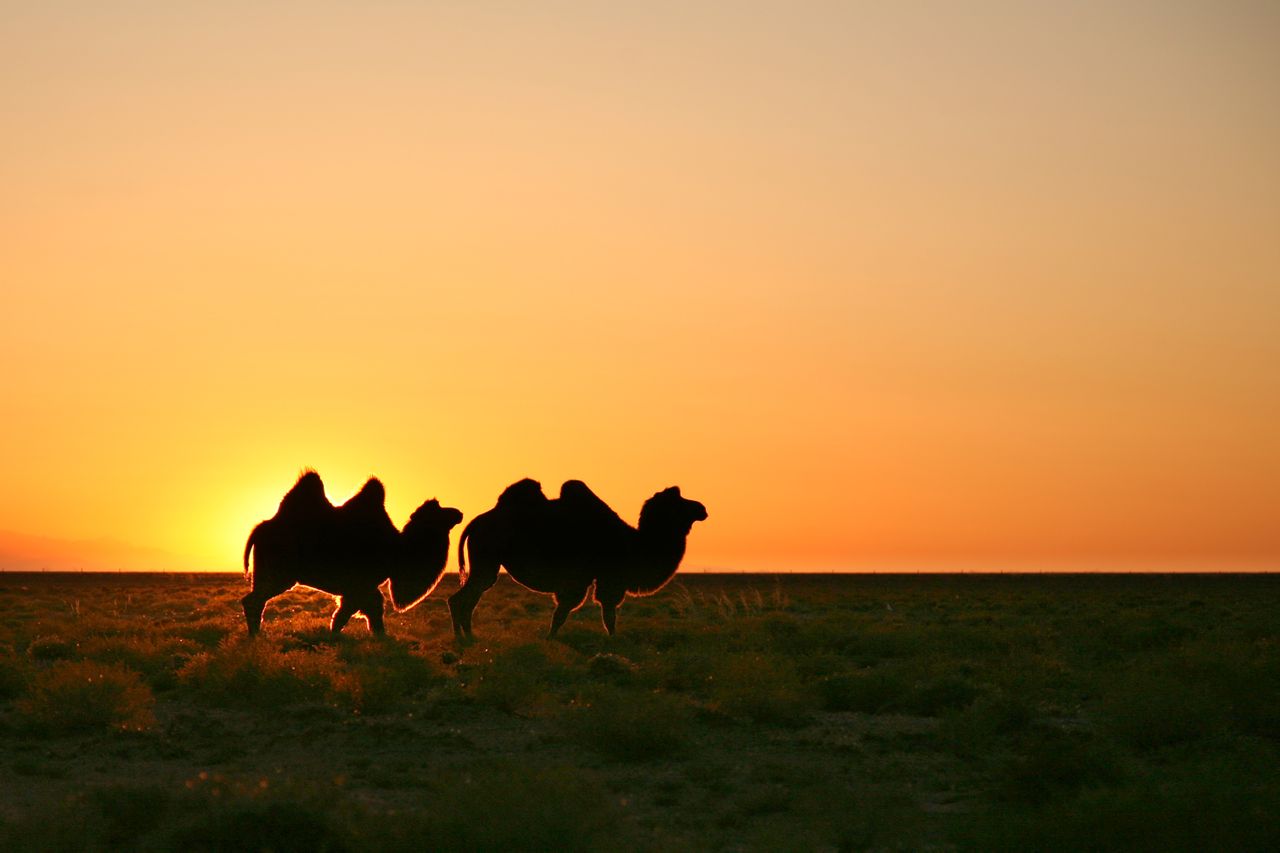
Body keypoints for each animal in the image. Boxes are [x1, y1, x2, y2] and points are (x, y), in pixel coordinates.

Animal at [241, 471, 463, 630]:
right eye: (438, 511)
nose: (458, 513)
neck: (397, 551)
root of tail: (260, 529)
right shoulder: (360, 584)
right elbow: (350, 615)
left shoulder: (361, 587)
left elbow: (361, 614)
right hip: (280, 574)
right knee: (253, 601)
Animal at [448, 473, 711, 635]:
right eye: (679, 502)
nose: (702, 508)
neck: (632, 544)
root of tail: (477, 521)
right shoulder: (601, 578)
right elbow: (592, 613)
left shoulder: (593, 579)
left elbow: (576, 612)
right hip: (486, 559)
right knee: (462, 598)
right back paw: (463, 639)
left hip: (487, 563)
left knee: (469, 597)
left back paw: (469, 638)